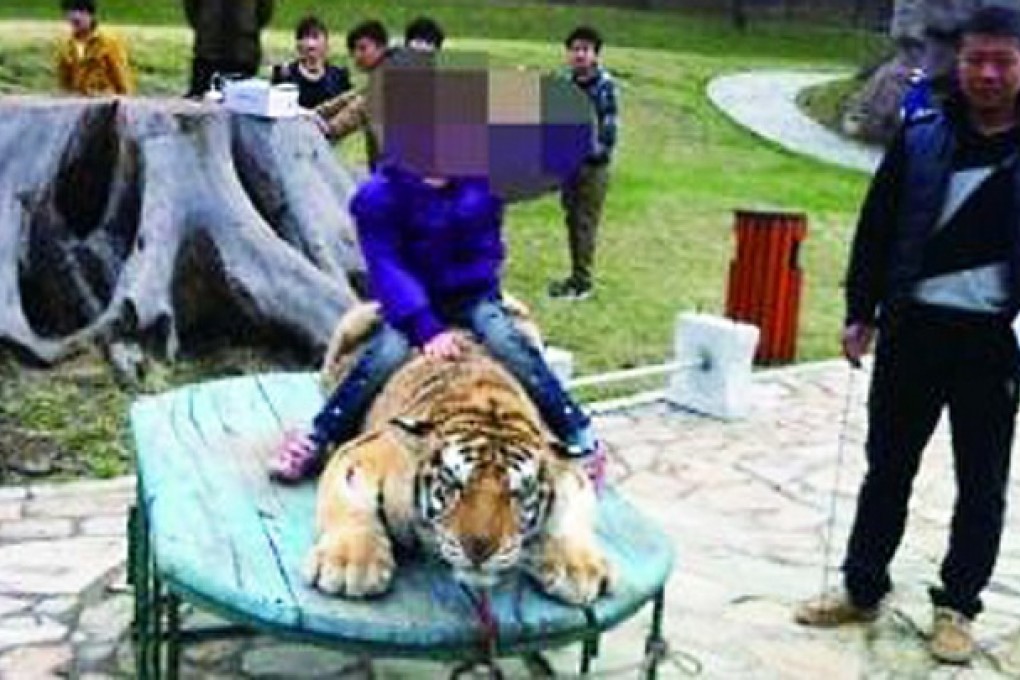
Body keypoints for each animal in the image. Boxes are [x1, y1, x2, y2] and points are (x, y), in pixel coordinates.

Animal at [301, 303, 612, 607]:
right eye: (454, 486)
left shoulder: (566, 468)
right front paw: (349, 563)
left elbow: (575, 512)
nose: (479, 551)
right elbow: (348, 498)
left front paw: (578, 569)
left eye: (517, 494)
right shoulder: (366, 449)